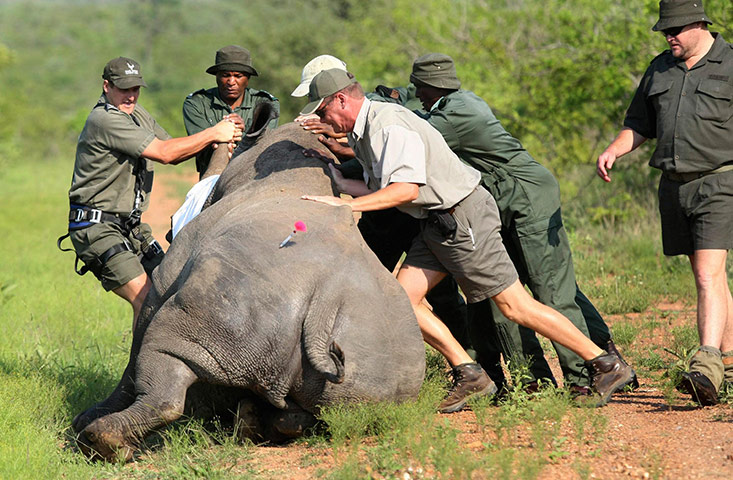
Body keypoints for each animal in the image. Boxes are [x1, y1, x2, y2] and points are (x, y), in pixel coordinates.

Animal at [72, 122, 426, 461]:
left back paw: (99, 441)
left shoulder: (164, 278)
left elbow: (137, 345)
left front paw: (85, 419)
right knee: (334, 410)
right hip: (378, 361)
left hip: (232, 297)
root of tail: (322, 312)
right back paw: (254, 423)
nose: (170, 230)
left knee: (166, 353)